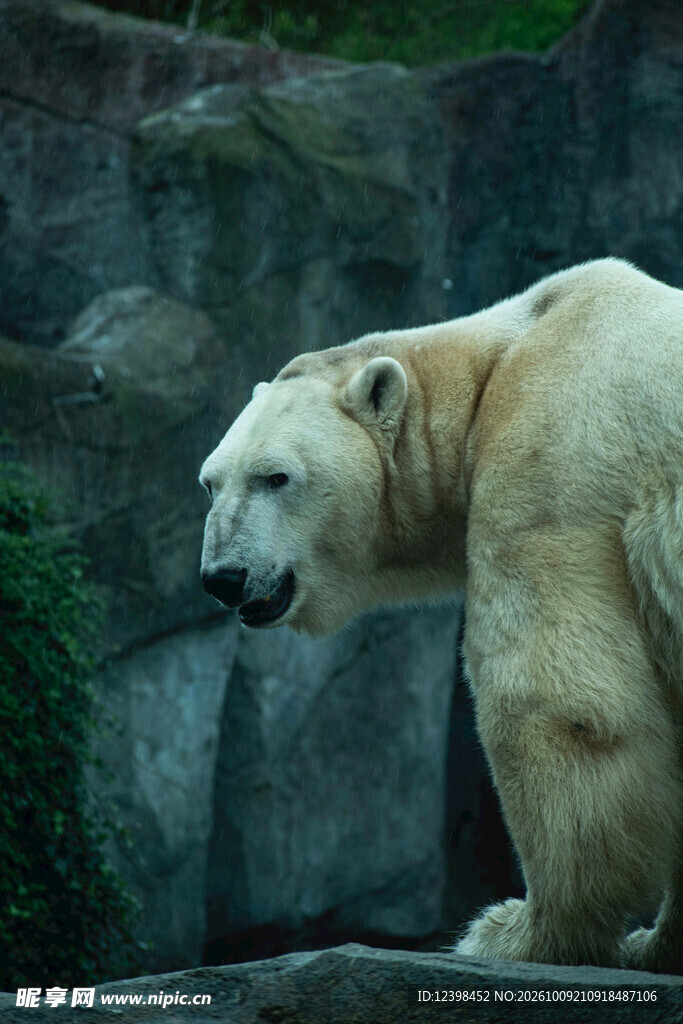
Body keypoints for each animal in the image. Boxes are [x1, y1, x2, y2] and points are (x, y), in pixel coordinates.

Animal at [199, 258, 682, 973]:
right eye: (210, 482)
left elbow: (555, 704)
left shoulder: (555, 454)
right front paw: (658, 941)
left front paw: (521, 932)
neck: (505, 353)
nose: (223, 578)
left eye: (275, 477)